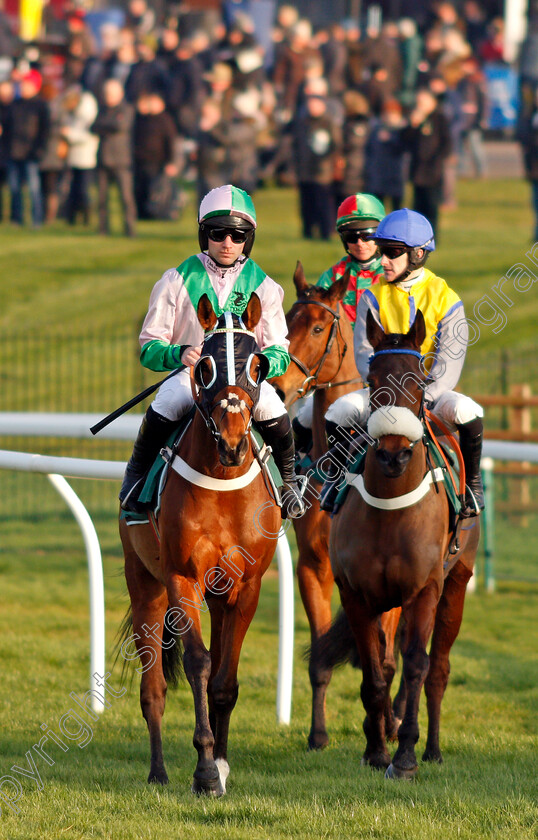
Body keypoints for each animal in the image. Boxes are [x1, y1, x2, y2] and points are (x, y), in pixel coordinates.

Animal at [119, 294, 278, 796]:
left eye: (258, 365)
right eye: (204, 365)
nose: (231, 443)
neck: (222, 483)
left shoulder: (246, 586)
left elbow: (224, 681)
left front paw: (221, 765)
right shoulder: (181, 577)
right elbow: (198, 664)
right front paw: (205, 770)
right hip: (145, 586)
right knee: (153, 690)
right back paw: (157, 770)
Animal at [270, 262, 400, 748]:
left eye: (318, 327)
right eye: (286, 323)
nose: (278, 386)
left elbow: (385, 656)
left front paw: (385, 727)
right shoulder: (315, 566)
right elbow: (321, 656)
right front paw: (318, 734)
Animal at [326, 308, 478, 780]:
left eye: (419, 381)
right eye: (373, 380)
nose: (393, 455)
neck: (391, 510)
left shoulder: (426, 588)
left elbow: (417, 666)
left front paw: (406, 756)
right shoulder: (356, 593)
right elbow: (375, 673)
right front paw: (376, 750)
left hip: (455, 583)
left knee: (438, 669)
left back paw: (432, 750)